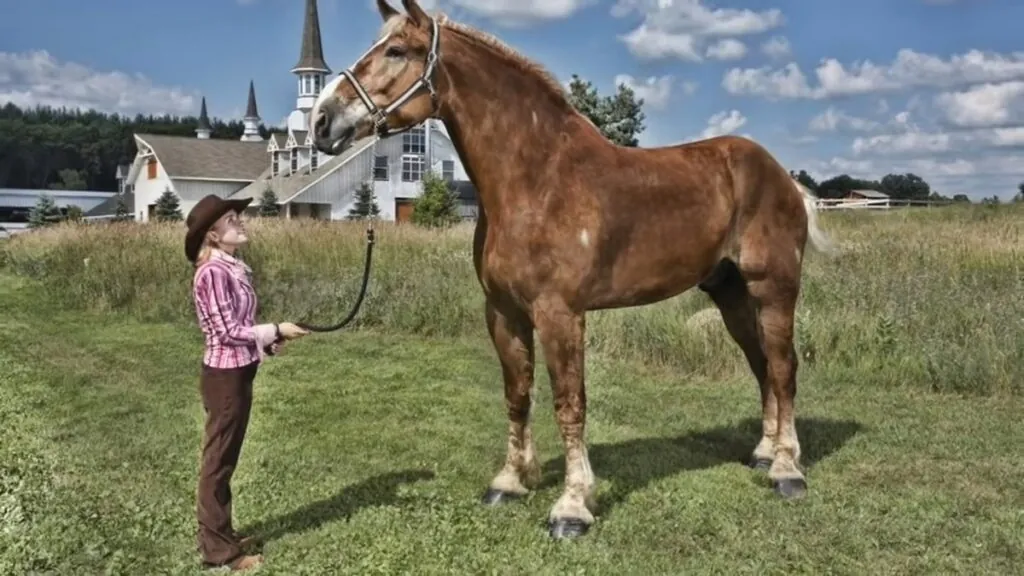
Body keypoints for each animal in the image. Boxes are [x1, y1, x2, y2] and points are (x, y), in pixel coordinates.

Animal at [307, 0, 835, 537]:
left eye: (396, 50)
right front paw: (510, 482)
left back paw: (787, 470)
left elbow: (569, 403)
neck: (537, 181)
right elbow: (518, 394)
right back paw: (764, 453)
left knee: (783, 369)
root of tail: (785, 179)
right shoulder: (503, 312)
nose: (322, 121)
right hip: (731, 294)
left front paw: (573, 505)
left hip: (774, 289)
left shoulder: (560, 314)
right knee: (761, 366)